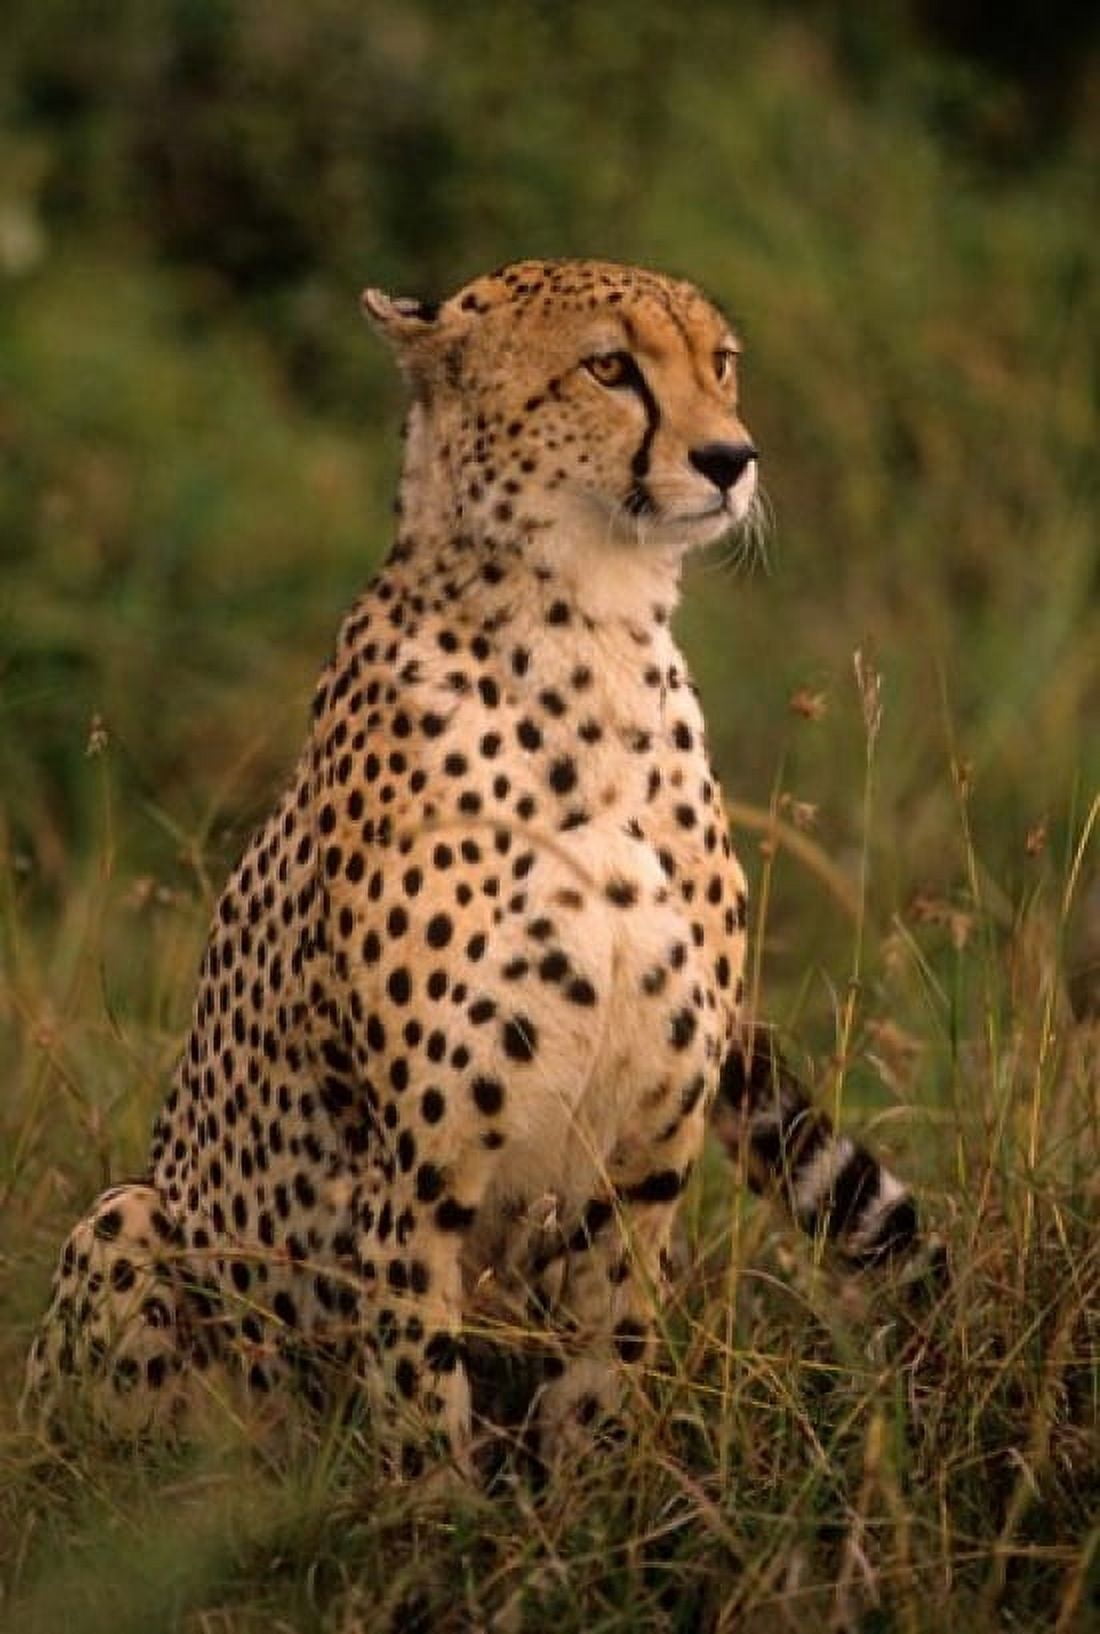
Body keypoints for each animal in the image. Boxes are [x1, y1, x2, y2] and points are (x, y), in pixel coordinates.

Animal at [23, 258, 930, 1476]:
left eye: (721, 363)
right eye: (610, 367)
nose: (730, 458)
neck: (592, 638)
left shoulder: (643, 1164)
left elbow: (605, 1368)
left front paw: (589, 1509)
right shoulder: (413, 1172)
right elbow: (418, 1396)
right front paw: (436, 1511)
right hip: (129, 1222)